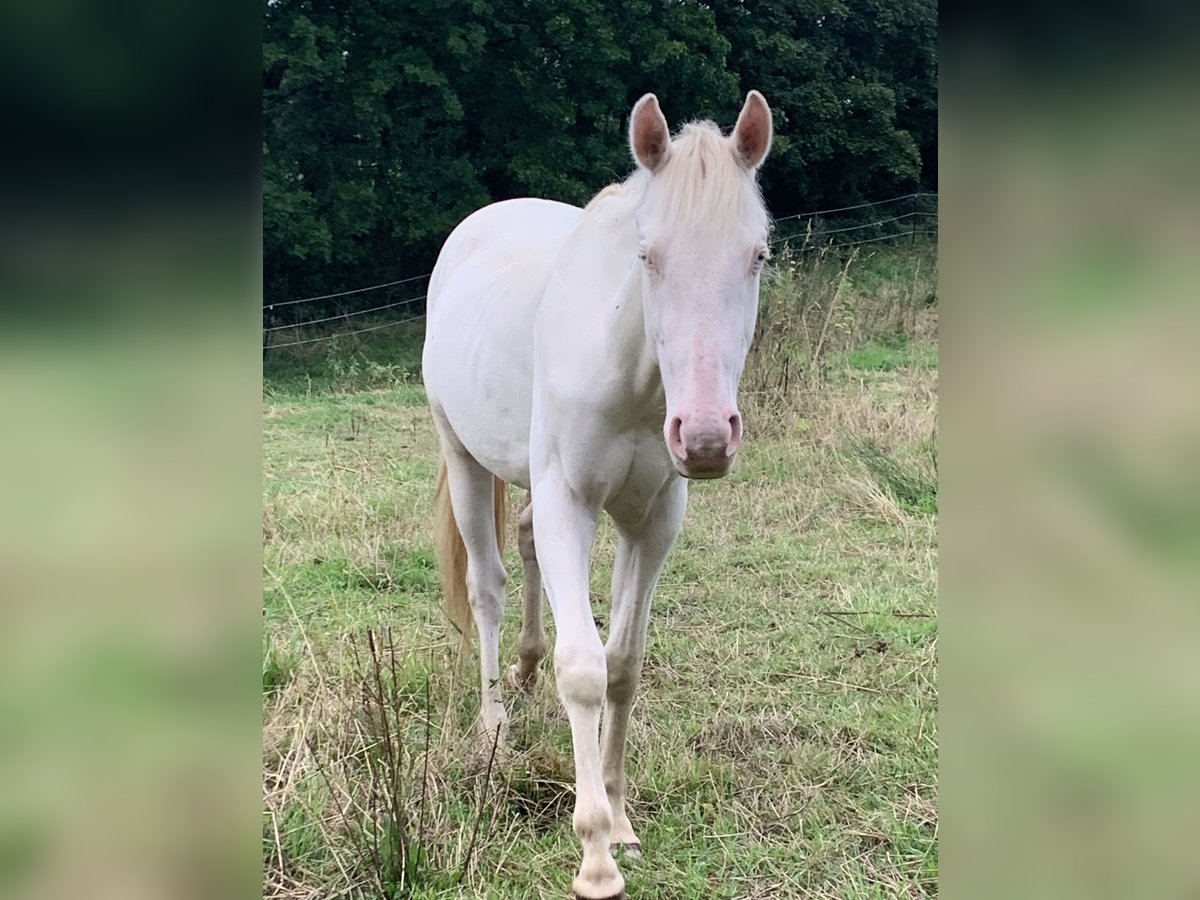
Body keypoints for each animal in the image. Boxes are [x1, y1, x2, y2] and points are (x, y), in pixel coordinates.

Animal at [427, 93, 772, 900]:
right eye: (648, 255)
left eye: (758, 255)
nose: (705, 438)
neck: (633, 374)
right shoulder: (570, 504)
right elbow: (583, 670)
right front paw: (593, 857)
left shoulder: (654, 521)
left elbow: (623, 664)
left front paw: (617, 819)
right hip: (463, 457)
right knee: (487, 586)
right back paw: (494, 722)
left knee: (523, 545)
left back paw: (523, 667)